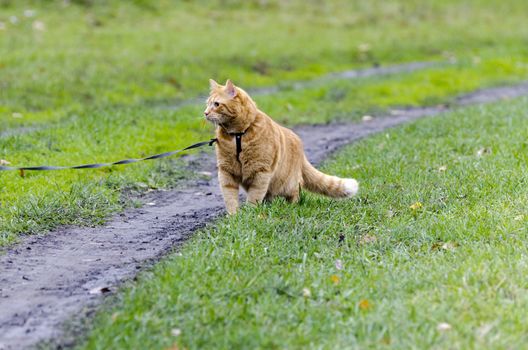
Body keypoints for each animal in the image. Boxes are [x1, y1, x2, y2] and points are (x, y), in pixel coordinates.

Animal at [203, 79, 358, 215]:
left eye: (216, 104)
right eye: (207, 104)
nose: (205, 113)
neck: (237, 135)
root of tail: (301, 148)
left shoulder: (260, 171)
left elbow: (254, 195)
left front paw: (250, 212)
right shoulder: (226, 171)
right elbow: (229, 196)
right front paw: (233, 216)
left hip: (288, 183)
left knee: (295, 192)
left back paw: (292, 204)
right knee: (269, 196)